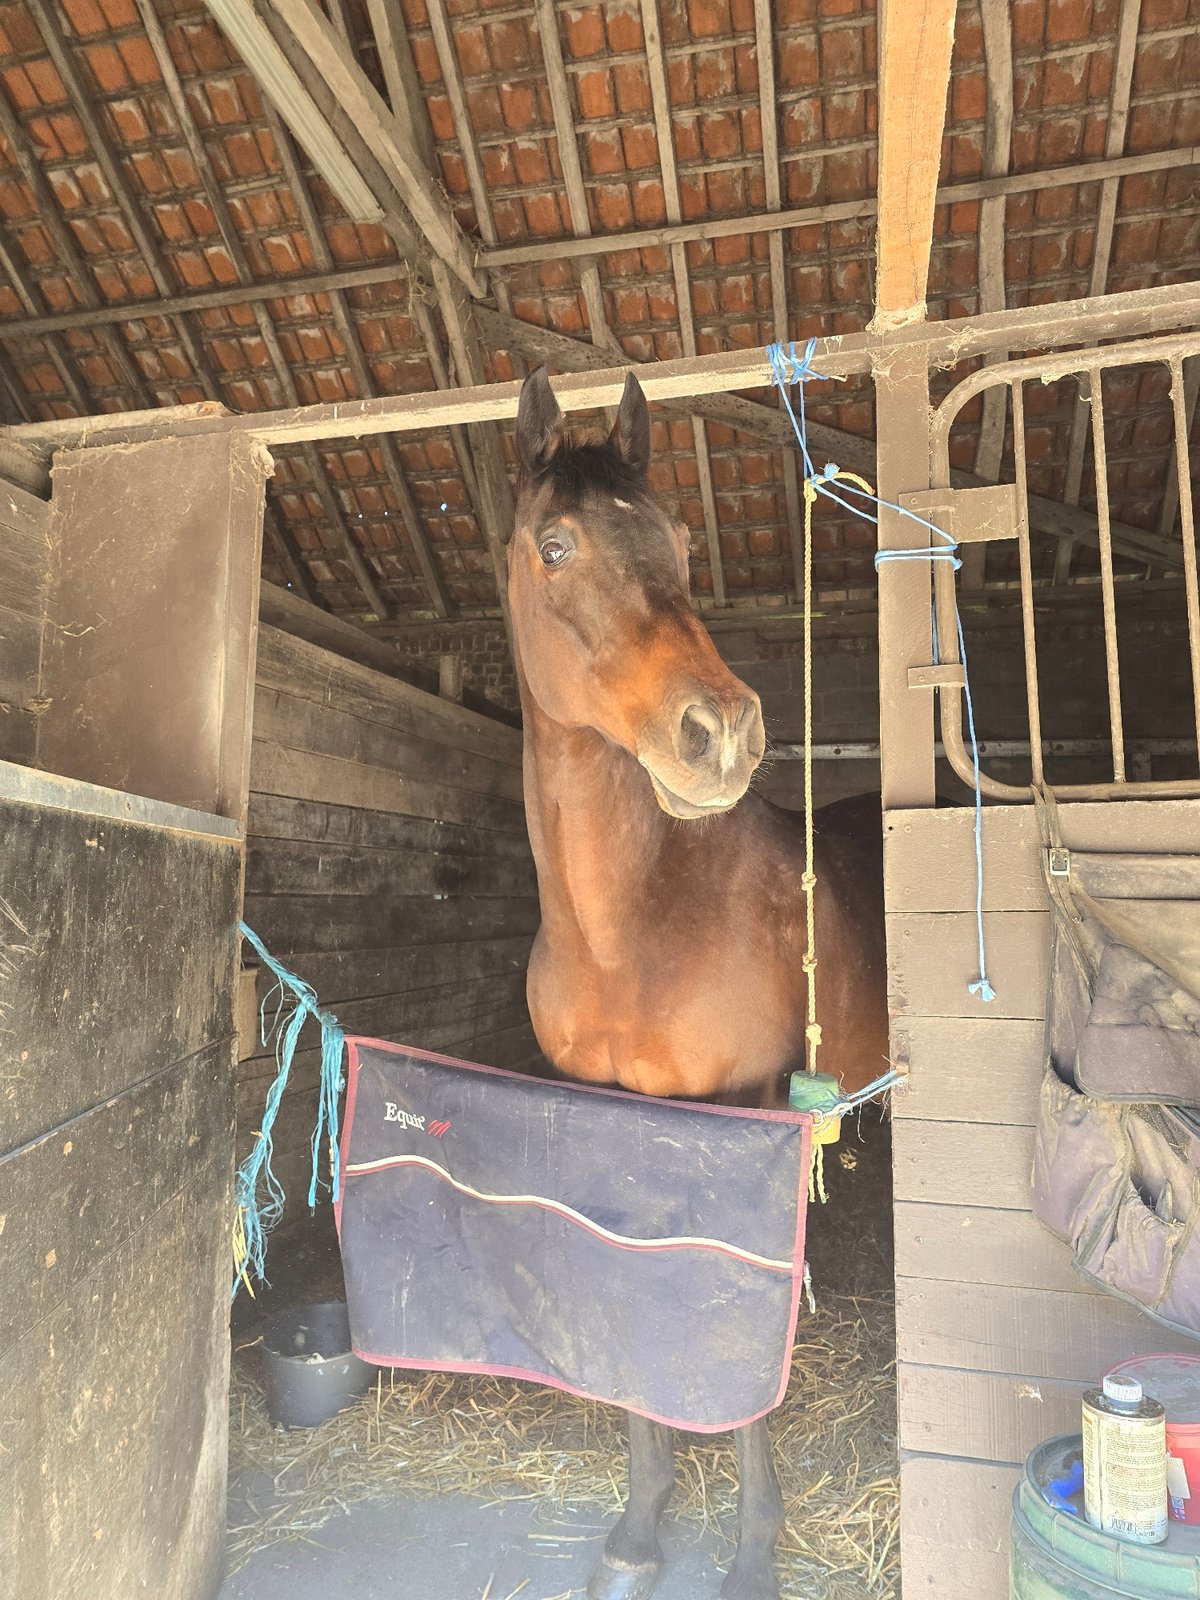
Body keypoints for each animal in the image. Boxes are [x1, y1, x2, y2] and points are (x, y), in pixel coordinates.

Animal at [508, 366, 888, 1600]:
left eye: (675, 539)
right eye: (557, 544)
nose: (717, 731)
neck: (633, 928)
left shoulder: (746, 1113)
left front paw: (754, 1546)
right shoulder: (610, 1112)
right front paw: (639, 1528)